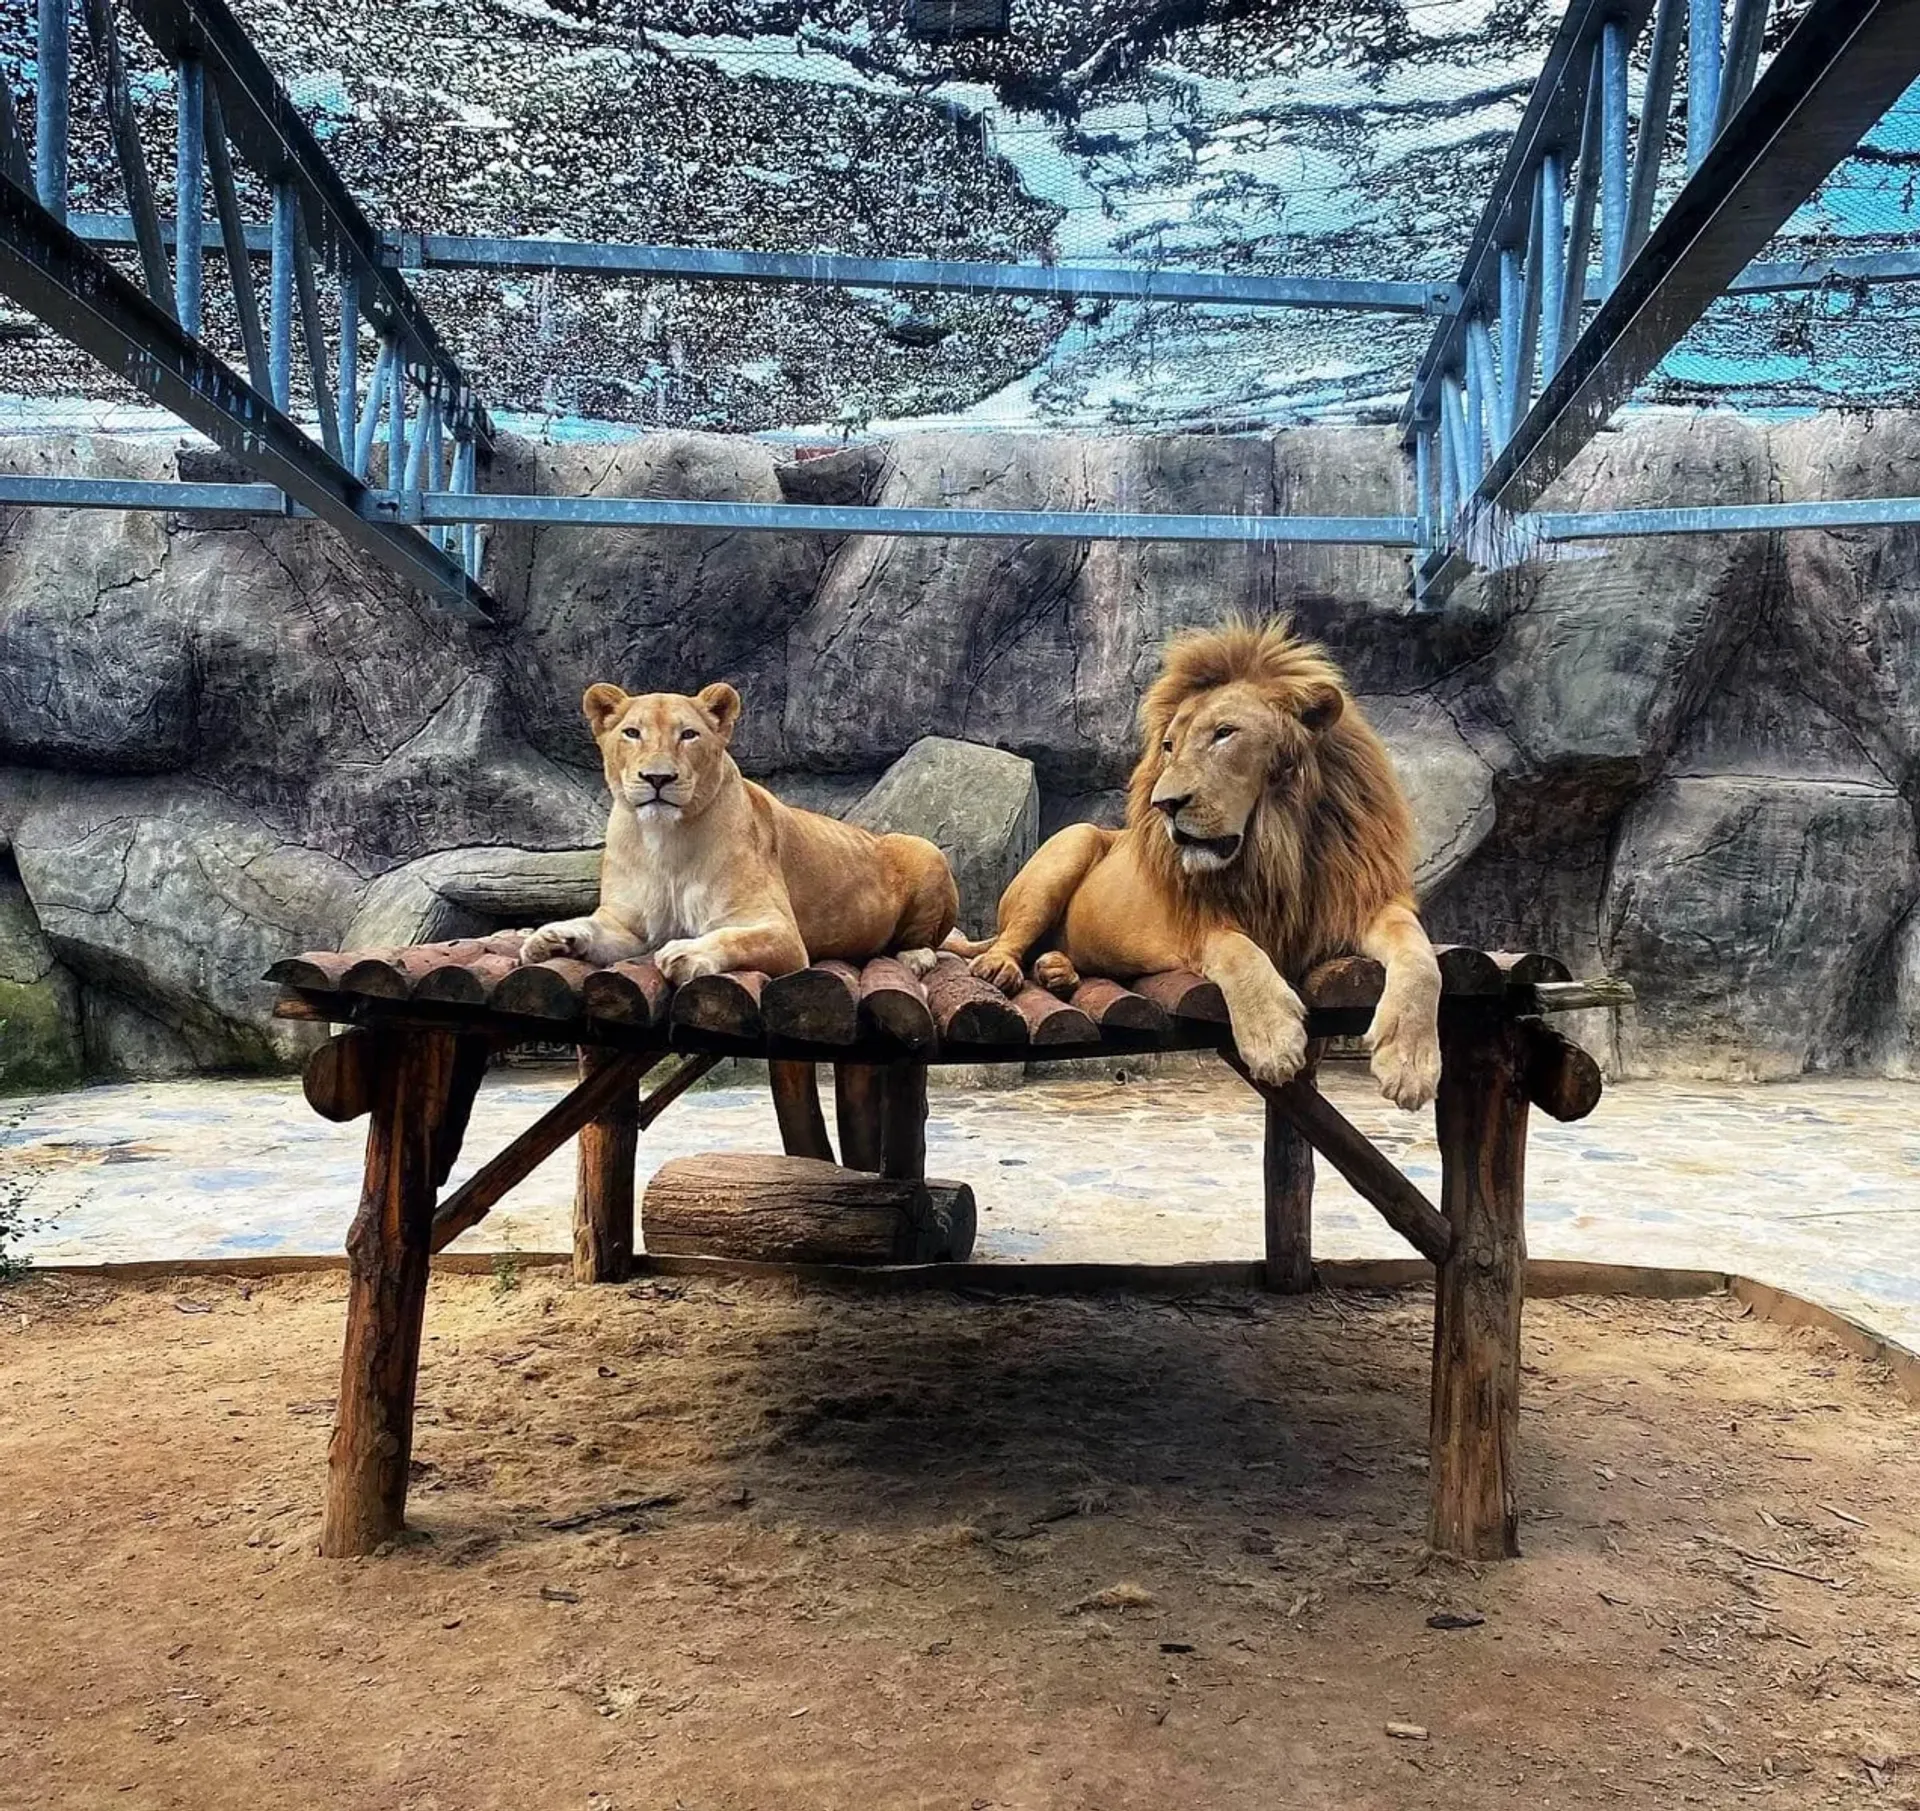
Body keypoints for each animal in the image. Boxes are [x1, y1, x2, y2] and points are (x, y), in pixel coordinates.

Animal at [519, 681, 959, 984]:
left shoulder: (782, 933)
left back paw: (915, 956)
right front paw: (550, 935)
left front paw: (686, 953)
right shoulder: (631, 927)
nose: (658, 778)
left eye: (688, 734)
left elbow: (734, 937)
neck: (664, 842)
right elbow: (595, 926)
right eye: (632, 733)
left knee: (927, 939)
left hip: (924, 848)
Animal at [960, 619, 1442, 1108]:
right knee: (1012, 937)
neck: (1277, 843)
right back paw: (1001, 967)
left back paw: (1057, 970)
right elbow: (1238, 953)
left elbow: (1422, 961)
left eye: (1224, 733)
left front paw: (1410, 1065)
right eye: (1169, 745)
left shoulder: (1360, 901)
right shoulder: (1196, 922)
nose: (1165, 804)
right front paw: (1273, 1040)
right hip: (1071, 843)